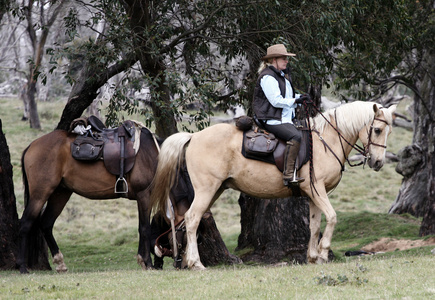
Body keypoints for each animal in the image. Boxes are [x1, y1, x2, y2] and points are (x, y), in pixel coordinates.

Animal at [16, 125, 162, 274]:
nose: (160, 264)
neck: (153, 154)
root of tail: (31, 145)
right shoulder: (144, 195)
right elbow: (145, 228)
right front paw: (148, 263)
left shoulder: (143, 198)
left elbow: (140, 227)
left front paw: (142, 260)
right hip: (40, 194)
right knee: (25, 223)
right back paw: (22, 267)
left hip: (60, 194)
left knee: (46, 224)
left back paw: (60, 262)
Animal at [152, 101, 396, 270]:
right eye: (376, 130)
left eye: (388, 131)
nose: (378, 162)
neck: (325, 141)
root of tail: (193, 137)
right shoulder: (317, 190)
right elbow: (333, 217)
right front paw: (323, 254)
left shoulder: (313, 194)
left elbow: (314, 225)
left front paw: (312, 257)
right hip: (206, 190)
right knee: (193, 219)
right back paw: (196, 263)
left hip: (216, 189)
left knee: (186, 221)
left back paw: (184, 260)